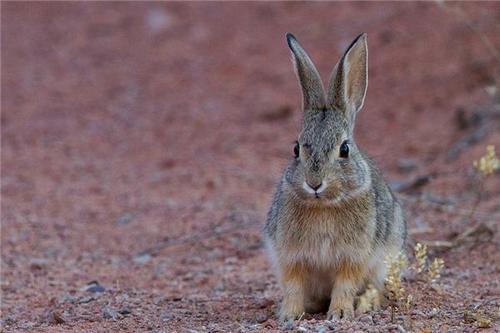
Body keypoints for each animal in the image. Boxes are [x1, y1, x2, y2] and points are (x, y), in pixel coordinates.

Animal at [264, 32, 408, 320]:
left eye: (344, 149)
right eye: (296, 148)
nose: (314, 184)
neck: (324, 206)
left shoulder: (353, 257)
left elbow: (345, 284)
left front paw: (340, 313)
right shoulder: (291, 257)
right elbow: (293, 286)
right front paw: (289, 315)